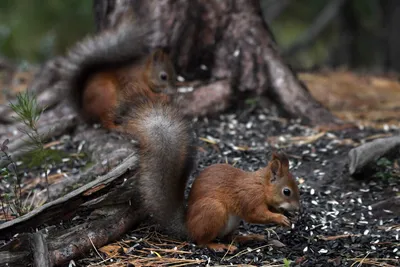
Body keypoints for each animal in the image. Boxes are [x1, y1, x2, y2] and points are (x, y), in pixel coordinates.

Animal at [58, 22, 196, 240]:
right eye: (163, 76)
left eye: (174, 75)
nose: (173, 90)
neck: (142, 74)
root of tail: (84, 112)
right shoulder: (134, 85)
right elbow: (148, 94)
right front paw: (164, 97)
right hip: (108, 98)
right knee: (106, 122)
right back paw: (119, 127)